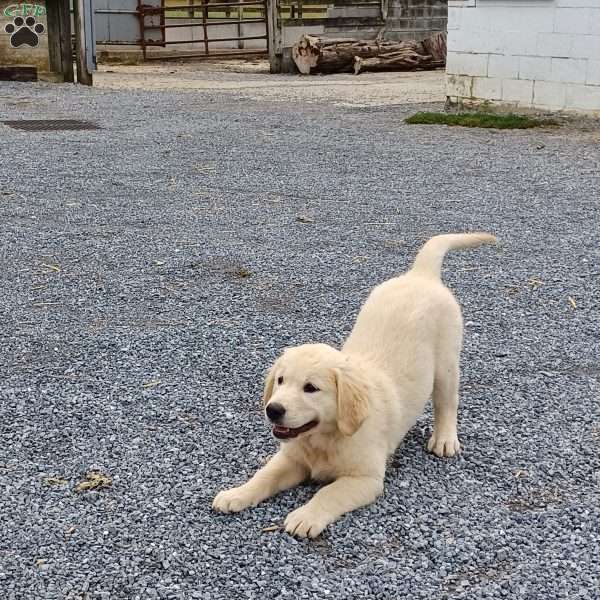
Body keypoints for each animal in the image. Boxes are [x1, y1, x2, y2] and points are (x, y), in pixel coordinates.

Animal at [213, 232, 494, 536]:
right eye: (280, 381)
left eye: (310, 388)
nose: (273, 410)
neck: (323, 439)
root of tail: (421, 275)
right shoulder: (292, 458)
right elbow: (265, 475)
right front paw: (236, 493)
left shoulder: (366, 478)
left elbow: (328, 493)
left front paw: (306, 516)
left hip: (446, 364)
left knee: (447, 403)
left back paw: (444, 439)